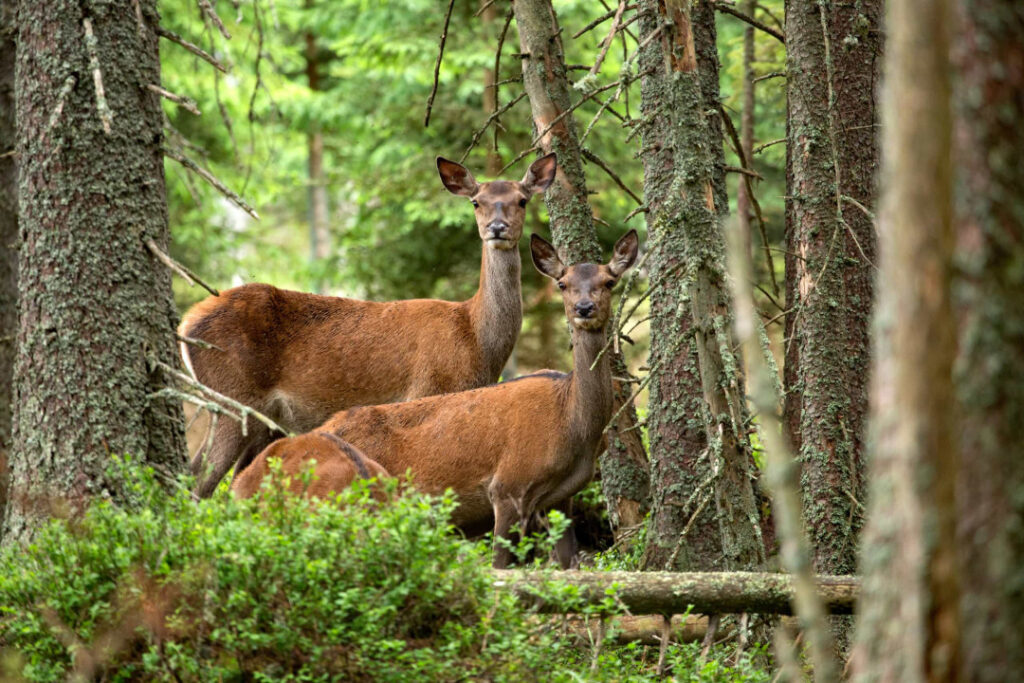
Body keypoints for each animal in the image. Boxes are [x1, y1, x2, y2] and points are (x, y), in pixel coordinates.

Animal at [180, 153, 557, 497]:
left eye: (522, 200)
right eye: (476, 201)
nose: (497, 227)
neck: (475, 338)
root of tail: (187, 323)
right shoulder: (426, 388)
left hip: (262, 419)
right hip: (231, 397)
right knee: (198, 478)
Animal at [233, 228, 638, 565]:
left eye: (609, 281)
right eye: (563, 283)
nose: (584, 309)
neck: (572, 423)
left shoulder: (562, 500)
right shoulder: (507, 486)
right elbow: (501, 568)